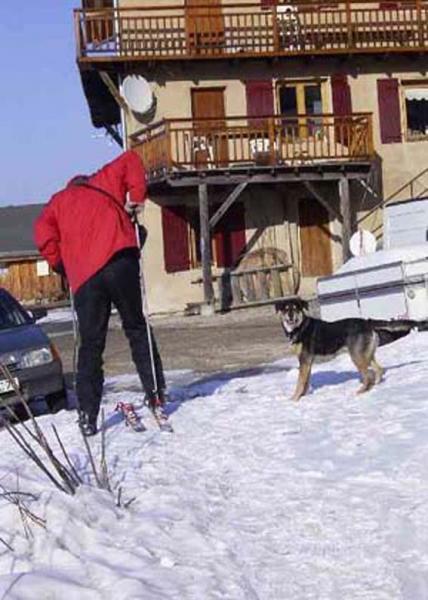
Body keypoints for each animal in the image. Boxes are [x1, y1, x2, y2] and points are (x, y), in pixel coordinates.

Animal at [276, 298, 426, 400]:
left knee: (368, 376)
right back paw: (376, 386)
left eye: (296, 308)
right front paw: (303, 396)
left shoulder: (305, 359)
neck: (300, 327)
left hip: (356, 356)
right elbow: (306, 381)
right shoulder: (307, 361)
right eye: (285, 309)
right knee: (378, 370)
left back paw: (361, 392)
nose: (290, 316)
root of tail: (366, 322)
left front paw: (294, 399)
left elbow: (300, 382)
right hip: (367, 354)